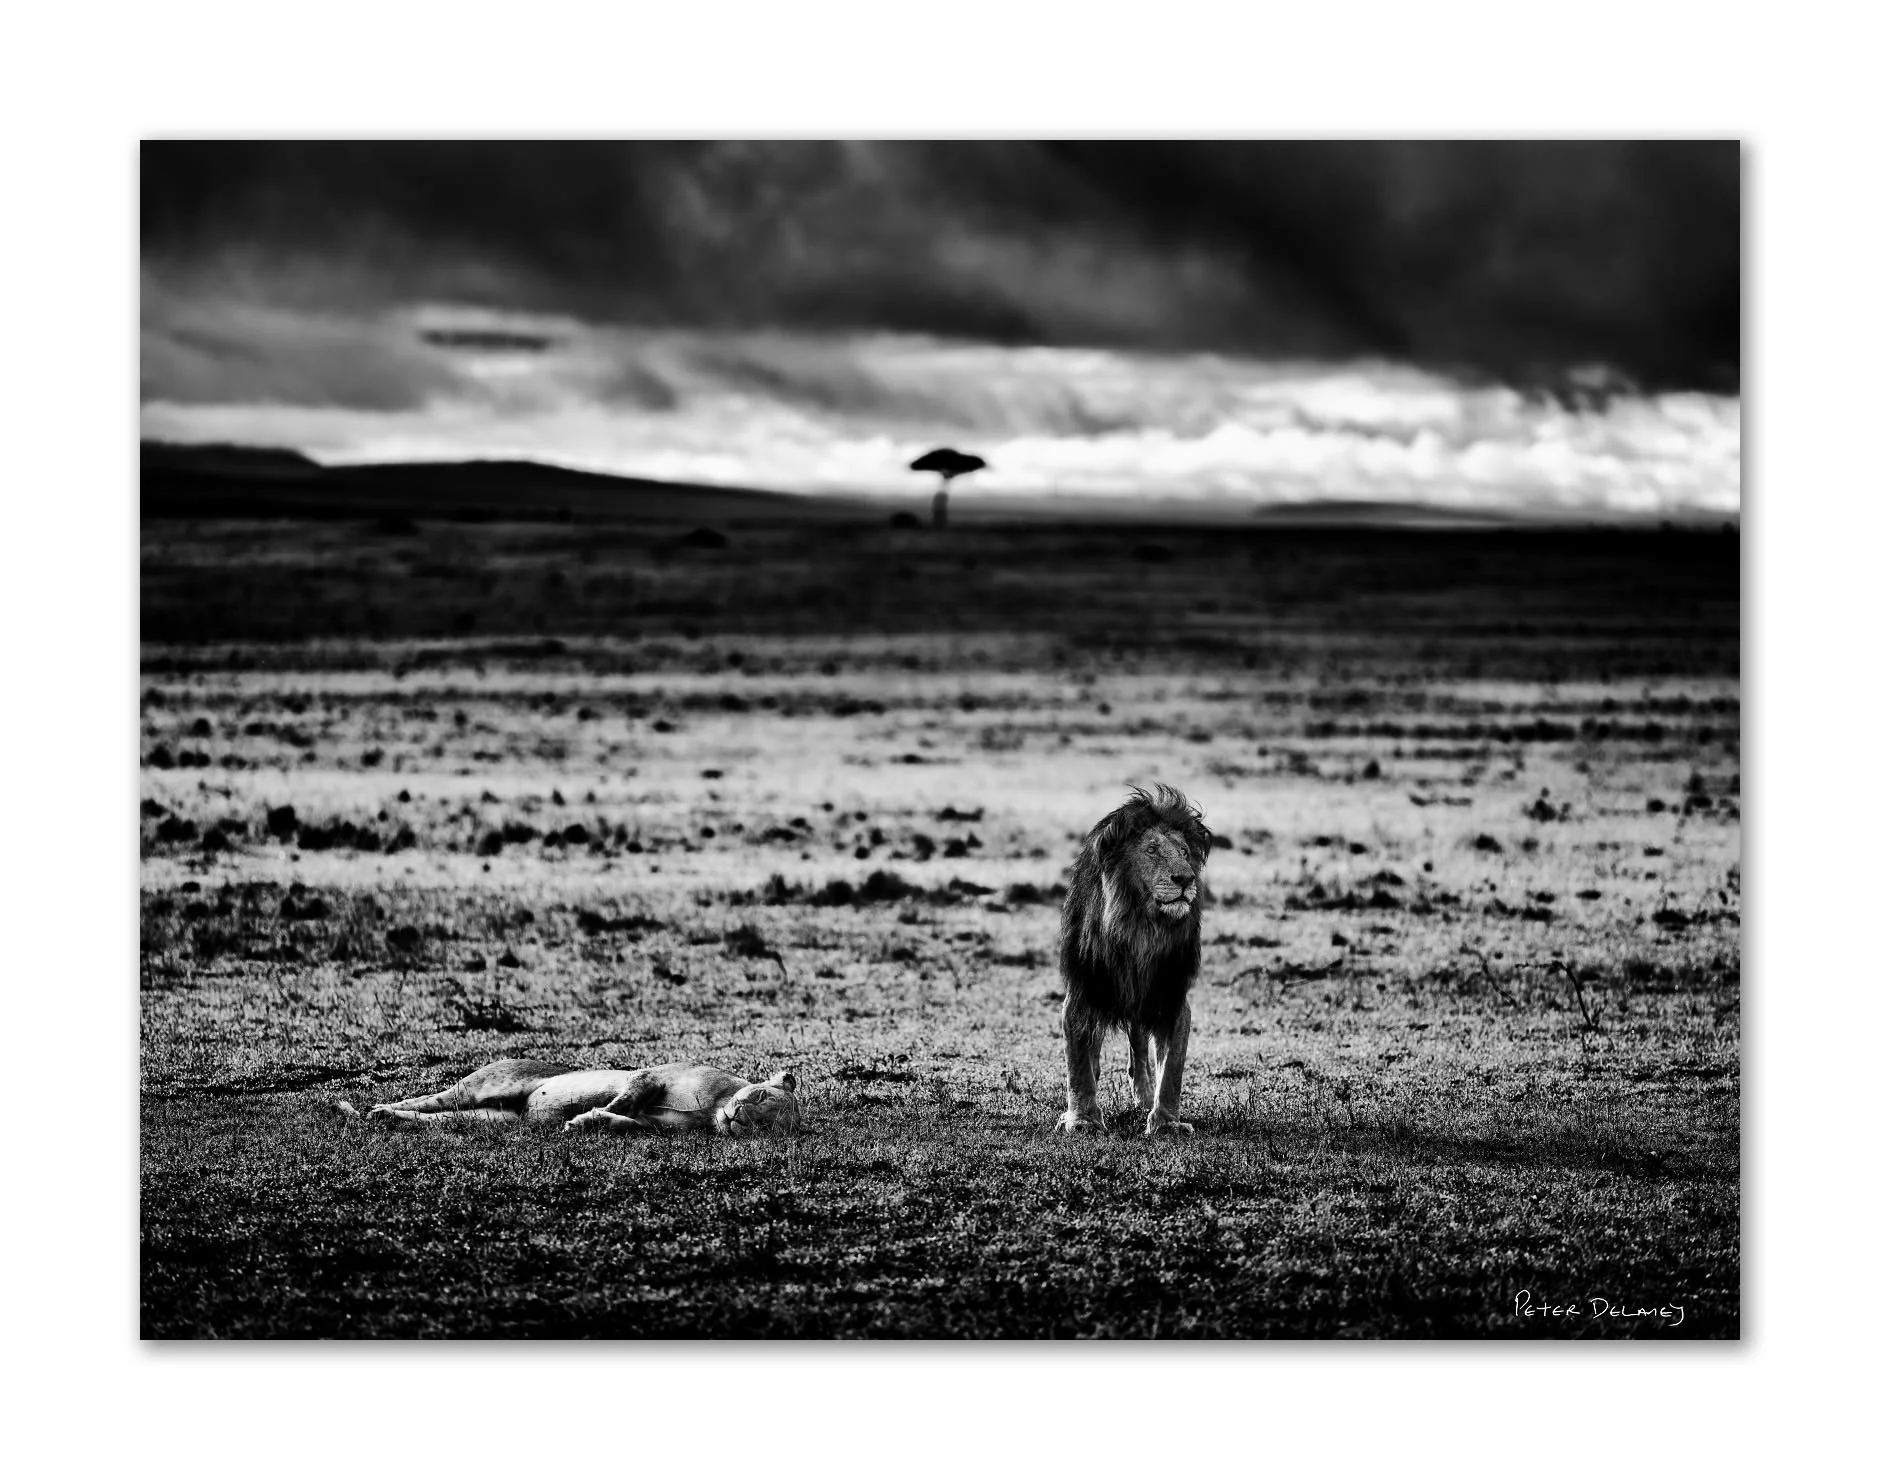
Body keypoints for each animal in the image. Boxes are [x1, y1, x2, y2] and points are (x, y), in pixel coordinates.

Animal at [1056, 784, 1211, 1136]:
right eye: (1152, 850)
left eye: (1184, 852)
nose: (1185, 879)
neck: (1141, 930)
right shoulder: (1083, 990)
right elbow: (1078, 1064)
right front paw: (1083, 1119)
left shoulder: (1171, 996)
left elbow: (1172, 1069)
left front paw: (1166, 1122)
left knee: (1139, 1045)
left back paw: (1143, 1094)